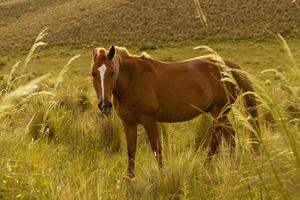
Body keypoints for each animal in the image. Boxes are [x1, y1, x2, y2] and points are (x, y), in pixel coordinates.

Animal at [90, 45, 258, 178]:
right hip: (217, 112)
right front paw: (128, 179)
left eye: (112, 72)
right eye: (93, 73)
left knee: (217, 137)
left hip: (219, 110)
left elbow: (157, 149)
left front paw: (162, 175)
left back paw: (206, 168)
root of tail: (230, 66)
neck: (132, 79)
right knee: (230, 135)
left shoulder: (149, 121)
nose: (104, 105)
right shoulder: (129, 123)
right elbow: (131, 150)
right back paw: (231, 166)